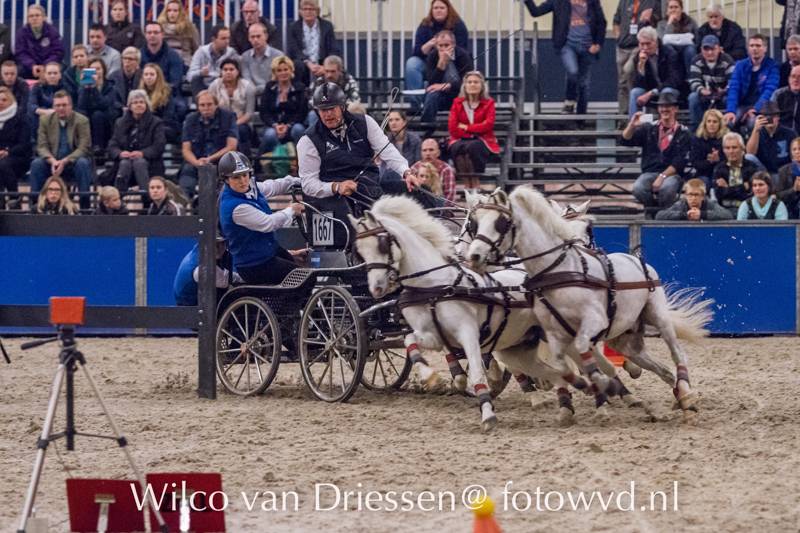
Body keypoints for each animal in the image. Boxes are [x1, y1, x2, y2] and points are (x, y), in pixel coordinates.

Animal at [350, 196, 592, 430]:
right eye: (359, 250)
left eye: (382, 243)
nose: (376, 288)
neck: (433, 285)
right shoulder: (431, 334)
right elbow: (411, 341)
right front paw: (433, 378)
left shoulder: (467, 332)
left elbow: (477, 370)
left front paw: (487, 409)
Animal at [466, 187, 714, 415]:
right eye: (475, 224)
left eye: (501, 222)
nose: (475, 256)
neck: (559, 270)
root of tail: (633, 257)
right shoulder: (555, 333)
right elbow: (563, 363)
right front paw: (591, 390)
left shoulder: (594, 322)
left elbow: (586, 352)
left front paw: (603, 387)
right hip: (624, 339)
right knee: (658, 367)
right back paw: (677, 394)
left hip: (658, 316)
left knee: (677, 353)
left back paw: (685, 392)